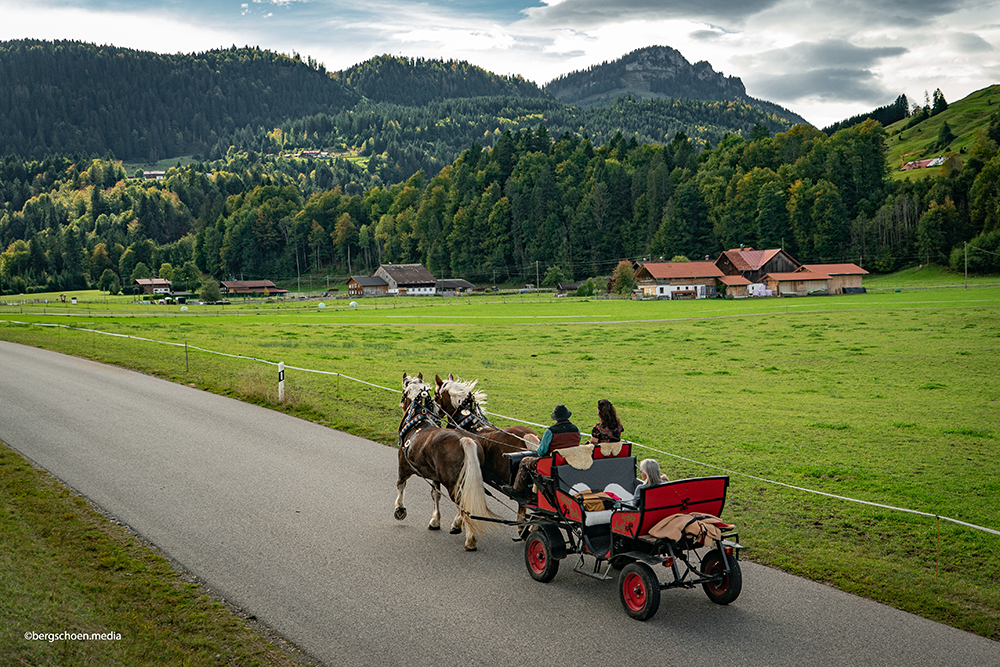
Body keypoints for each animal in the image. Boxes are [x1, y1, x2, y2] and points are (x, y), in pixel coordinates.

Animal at [394, 374, 496, 552]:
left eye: (403, 392)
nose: (401, 404)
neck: (419, 421)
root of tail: (465, 439)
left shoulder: (404, 464)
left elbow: (401, 485)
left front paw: (399, 509)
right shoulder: (435, 475)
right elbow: (435, 494)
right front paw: (435, 521)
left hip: (452, 482)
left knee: (463, 504)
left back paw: (469, 538)